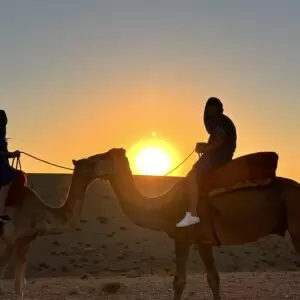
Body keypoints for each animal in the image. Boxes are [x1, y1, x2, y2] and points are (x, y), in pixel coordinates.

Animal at [0, 154, 111, 298]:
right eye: (91, 163)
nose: (107, 169)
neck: (42, 214)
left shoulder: (19, 240)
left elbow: (15, 281)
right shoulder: (17, 239)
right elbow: (16, 284)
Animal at [95, 148, 300, 300]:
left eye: (104, 156)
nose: (88, 160)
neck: (164, 206)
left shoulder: (182, 238)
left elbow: (179, 281)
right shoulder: (203, 240)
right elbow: (213, 278)